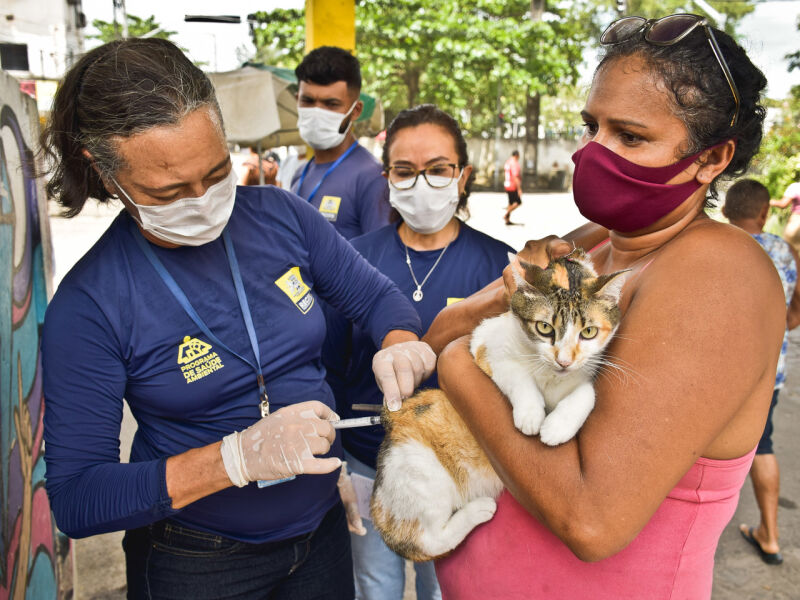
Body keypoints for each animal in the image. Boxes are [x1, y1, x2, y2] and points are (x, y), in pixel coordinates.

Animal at [372, 248, 628, 564]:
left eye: (589, 332)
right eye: (544, 328)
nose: (564, 360)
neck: (549, 375)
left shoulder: (585, 371)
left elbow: (587, 393)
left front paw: (558, 426)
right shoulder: (485, 345)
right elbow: (518, 376)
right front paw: (531, 415)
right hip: (421, 473)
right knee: (427, 540)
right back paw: (478, 509)